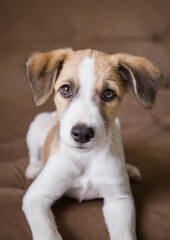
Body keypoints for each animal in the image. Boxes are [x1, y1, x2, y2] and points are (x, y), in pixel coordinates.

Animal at [21, 47, 161, 240]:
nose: (81, 134)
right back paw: (34, 168)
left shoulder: (119, 200)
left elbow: (124, 234)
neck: (86, 158)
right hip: (37, 124)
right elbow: (48, 233)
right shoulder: (36, 197)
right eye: (66, 89)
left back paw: (130, 169)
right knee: (33, 153)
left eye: (108, 94)